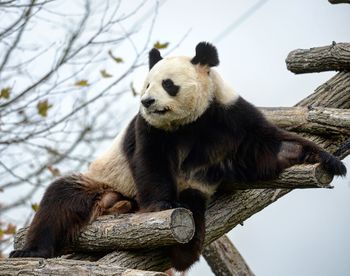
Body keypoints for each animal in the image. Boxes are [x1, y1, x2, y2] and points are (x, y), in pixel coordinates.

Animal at [9, 42, 346, 270]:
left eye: (167, 84)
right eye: (146, 84)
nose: (147, 101)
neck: (190, 121)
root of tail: (115, 202)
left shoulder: (229, 115)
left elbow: (269, 147)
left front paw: (329, 160)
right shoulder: (148, 129)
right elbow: (151, 162)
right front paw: (161, 205)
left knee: (193, 207)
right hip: (104, 180)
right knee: (60, 199)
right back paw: (31, 251)